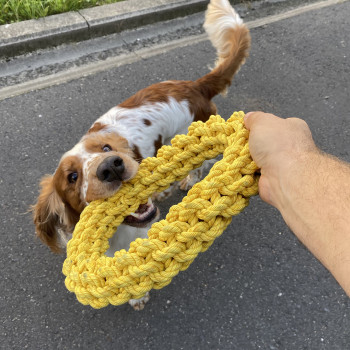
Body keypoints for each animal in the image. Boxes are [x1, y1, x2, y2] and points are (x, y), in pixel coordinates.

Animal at [32, 0, 250, 310]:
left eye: (107, 149)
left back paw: (186, 181)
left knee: (202, 164)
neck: (118, 232)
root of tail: (194, 86)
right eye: (72, 177)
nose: (111, 167)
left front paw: (138, 296)